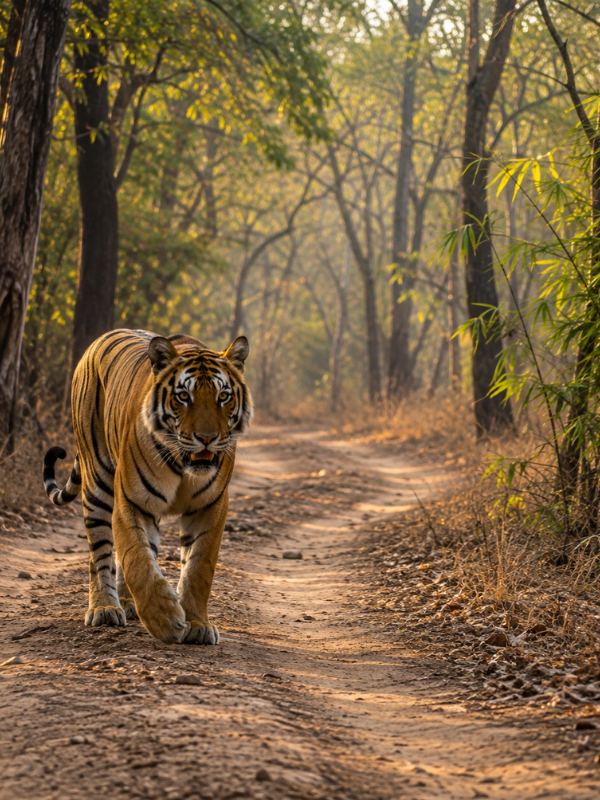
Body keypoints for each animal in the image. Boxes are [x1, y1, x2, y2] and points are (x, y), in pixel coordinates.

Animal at [42, 329, 253, 644]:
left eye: (223, 396)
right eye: (183, 396)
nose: (207, 438)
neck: (183, 466)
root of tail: (98, 340)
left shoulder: (210, 507)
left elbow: (198, 568)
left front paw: (198, 624)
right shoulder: (131, 501)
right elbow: (137, 560)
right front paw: (164, 618)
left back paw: (128, 603)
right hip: (97, 481)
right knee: (100, 552)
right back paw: (105, 608)